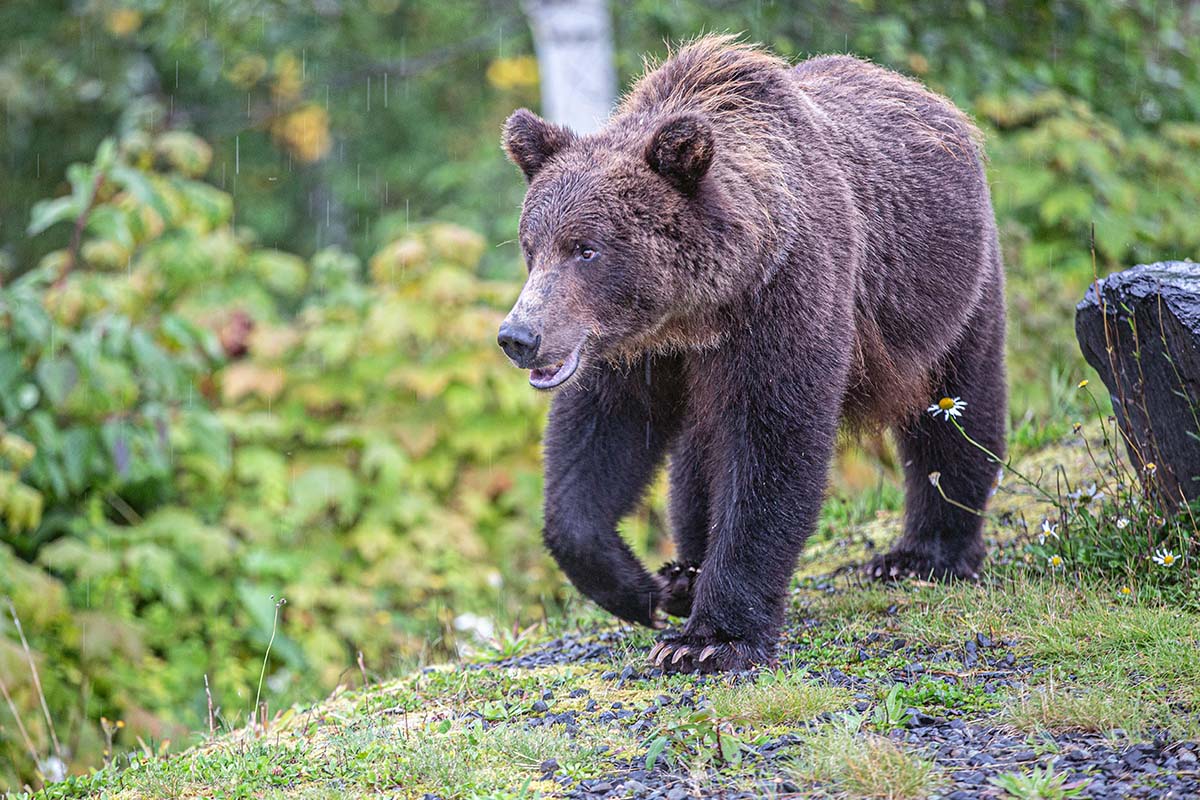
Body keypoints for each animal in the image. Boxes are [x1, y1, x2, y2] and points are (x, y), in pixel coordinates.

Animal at [496, 38, 1003, 676]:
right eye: (531, 246)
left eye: (586, 249)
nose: (519, 336)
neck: (701, 310)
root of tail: (932, 99)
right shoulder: (631, 349)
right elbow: (597, 440)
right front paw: (641, 590)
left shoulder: (786, 299)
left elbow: (772, 445)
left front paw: (708, 639)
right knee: (695, 456)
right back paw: (683, 574)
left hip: (952, 293)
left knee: (958, 409)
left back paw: (922, 555)